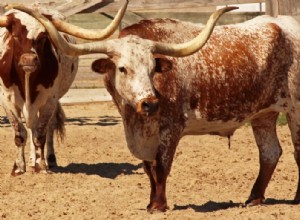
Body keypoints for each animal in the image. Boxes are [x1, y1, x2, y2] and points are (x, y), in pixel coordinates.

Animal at [0, 0, 126, 174]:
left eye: (43, 37)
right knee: (31, 127)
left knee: (47, 127)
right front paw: (19, 167)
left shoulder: (49, 101)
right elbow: (20, 133)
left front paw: (42, 166)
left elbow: (40, 134)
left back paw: (48, 159)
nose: (29, 60)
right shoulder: (6, 100)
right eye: (15, 36)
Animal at [20, 5, 300, 211]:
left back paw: (294, 198)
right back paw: (254, 198)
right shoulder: (141, 133)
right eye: (123, 68)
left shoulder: (170, 129)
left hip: (295, 109)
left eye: (153, 67)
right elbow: (148, 168)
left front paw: (158, 205)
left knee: (296, 152)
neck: (135, 118)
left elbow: (162, 166)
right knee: (270, 153)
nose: (150, 103)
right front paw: (150, 202)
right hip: (264, 114)